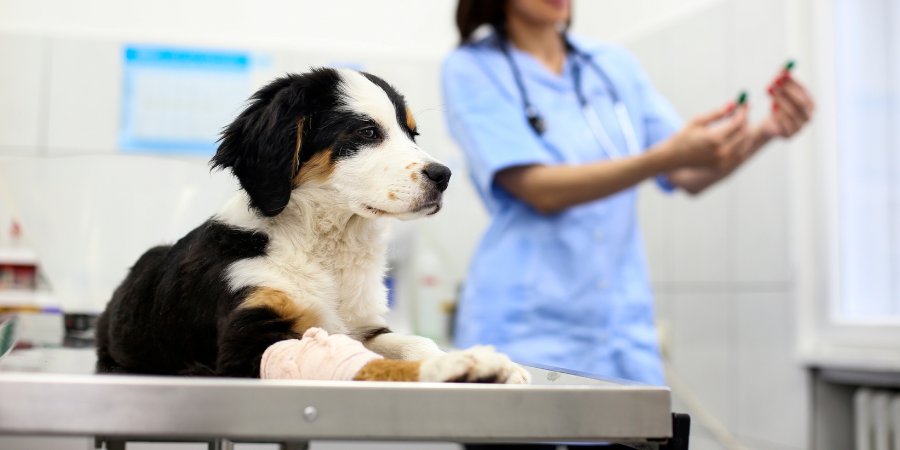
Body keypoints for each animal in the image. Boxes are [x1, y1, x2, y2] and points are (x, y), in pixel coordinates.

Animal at [93, 67, 528, 384]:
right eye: (367, 132)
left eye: (412, 133)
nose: (444, 176)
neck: (326, 248)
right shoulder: (248, 343)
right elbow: (362, 364)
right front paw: (455, 367)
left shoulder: (362, 326)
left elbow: (410, 342)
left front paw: (486, 362)